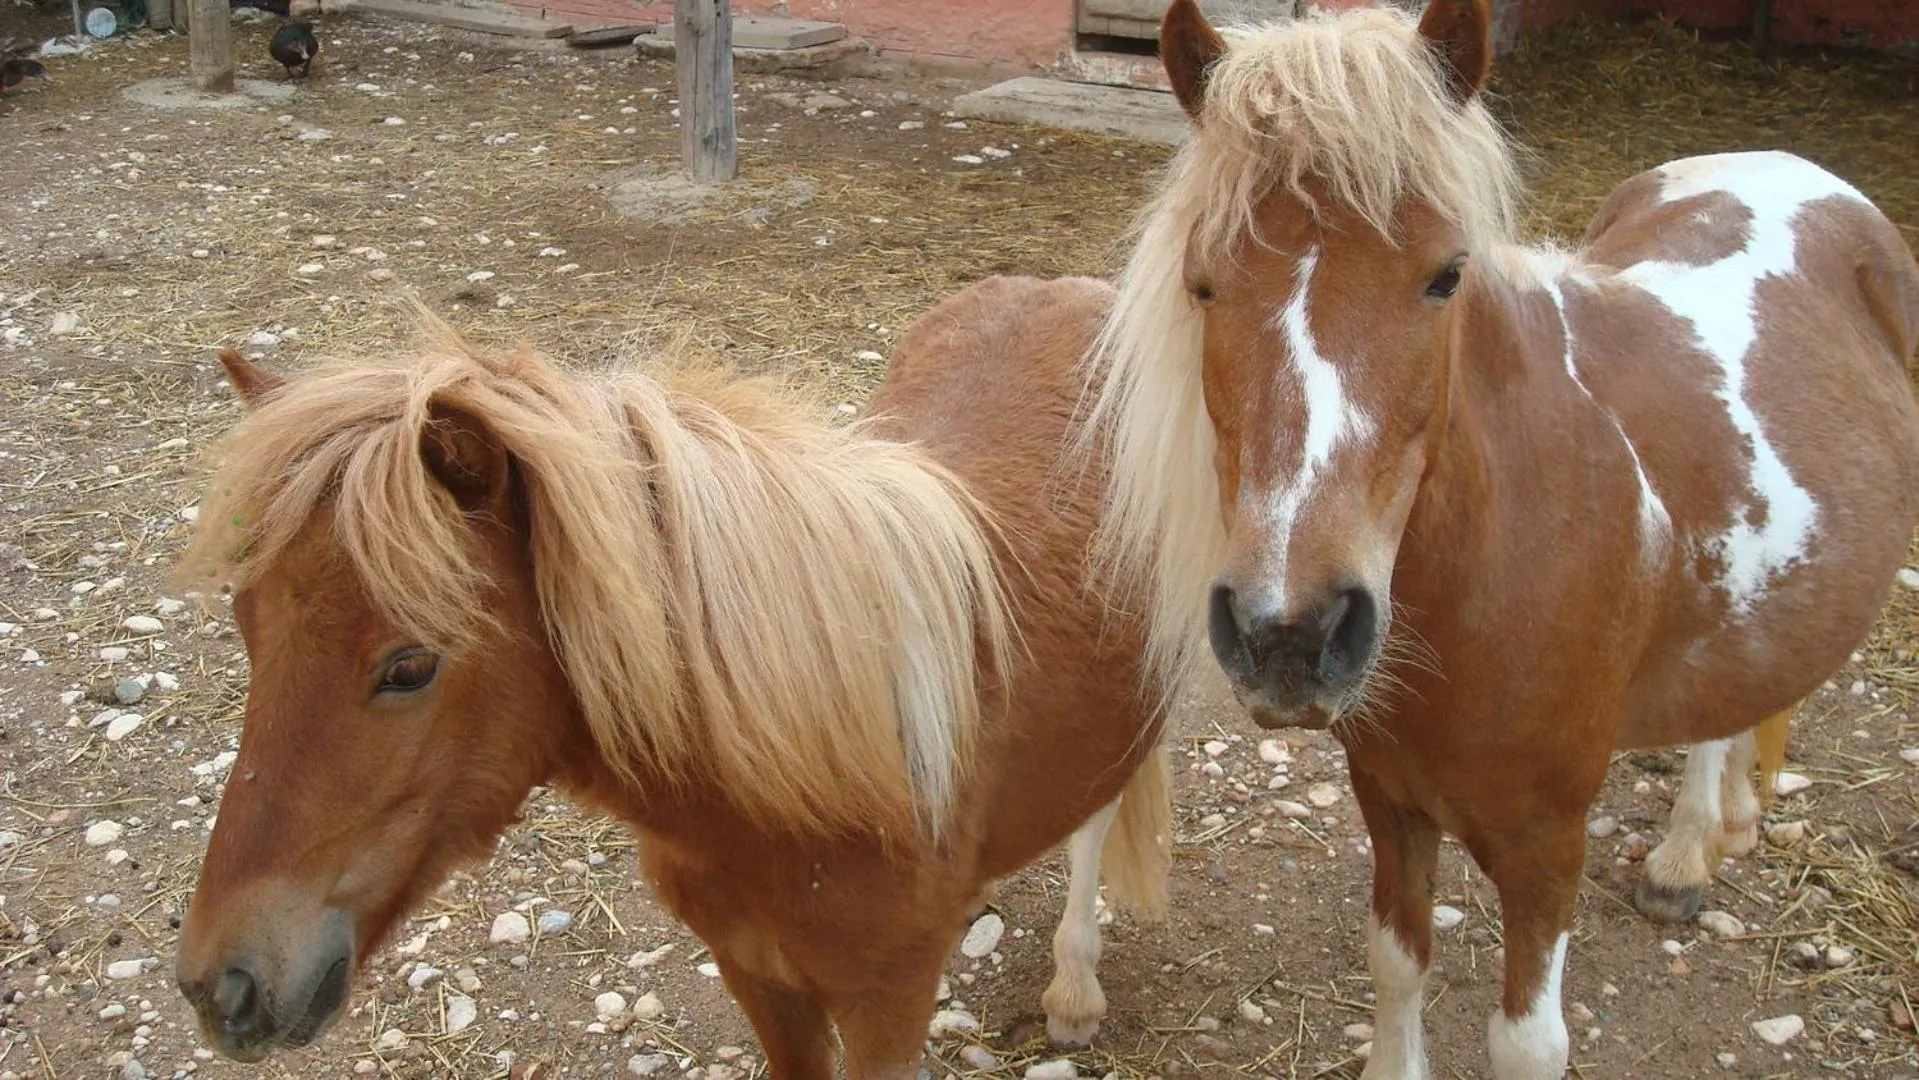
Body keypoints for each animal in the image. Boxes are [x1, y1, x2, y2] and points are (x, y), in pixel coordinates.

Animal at [170, 275, 1173, 1078]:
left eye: (410, 665)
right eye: (247, 628)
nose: (223, 988)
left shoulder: (885, 1010)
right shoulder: (758, 978)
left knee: (1097, 813)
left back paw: (1073, 991)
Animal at [1081, 0, 1919, 1076]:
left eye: (1445, 277)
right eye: (1201, 285)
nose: (1289, 633)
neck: (1493, 559)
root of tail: (1790, 164)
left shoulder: (1543, 841)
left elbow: (1525, 1042)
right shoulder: (1388, 802)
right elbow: (1395, 966)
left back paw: (1687, 848)